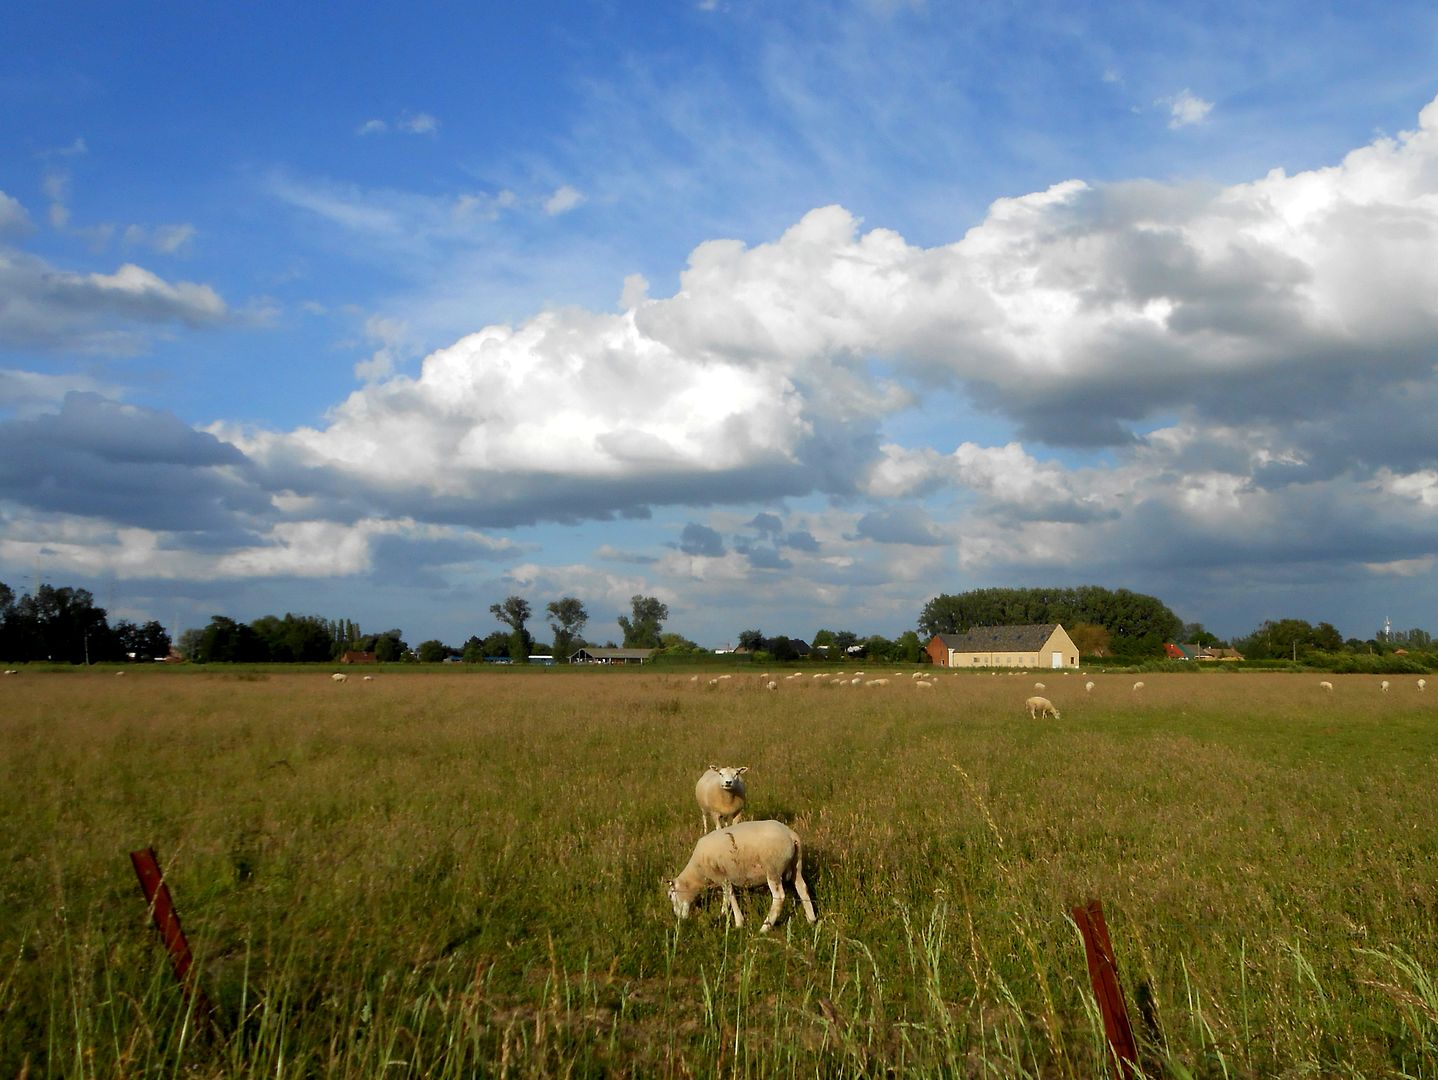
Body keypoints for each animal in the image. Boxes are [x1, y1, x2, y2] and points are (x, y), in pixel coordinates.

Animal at [664, 816, 816, 931]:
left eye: (671, 896)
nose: (679, 918)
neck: (697, 874)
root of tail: (791, 834)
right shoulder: (723, 879)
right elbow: (727, 897)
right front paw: (723, 914)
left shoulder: (722, 877)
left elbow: (730, 897)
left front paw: (738, 922)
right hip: (796, 865)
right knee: (802, 889)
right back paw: (811, 920)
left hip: (773, 869)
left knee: (779, 897)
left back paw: (764, 928)